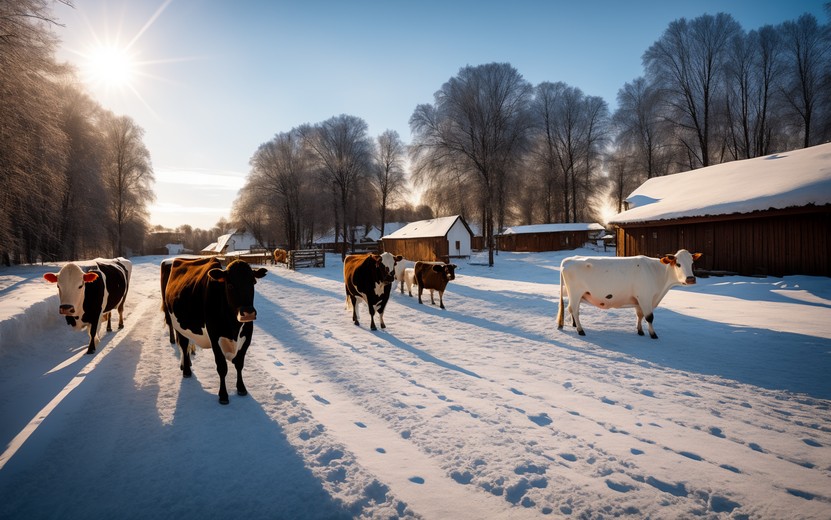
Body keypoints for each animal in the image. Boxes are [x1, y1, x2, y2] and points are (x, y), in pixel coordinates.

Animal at [162, 258, 266, 404]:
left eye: (253, 282)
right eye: (230, 285)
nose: (248, 313)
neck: (233, 327)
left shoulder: (247, 334)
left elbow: (239, 363)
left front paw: (241, 388)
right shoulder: (214, 337)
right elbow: (222, 367)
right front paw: (223, 395)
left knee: (185, 344)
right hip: (176, 323)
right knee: (183, 344)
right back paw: (186, 370)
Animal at [560, 250, 704, 340]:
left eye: (692, 263)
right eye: (678, 264)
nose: (691, 279)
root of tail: (569, 259)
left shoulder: (638, 300)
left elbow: (640, 315)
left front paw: (640, 331)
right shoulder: (645, 296)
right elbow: (649, 317)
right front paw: (653, 334)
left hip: (577, 295)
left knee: (571, 309)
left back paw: (574, 325)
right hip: (575, 292)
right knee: (574, 310)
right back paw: (580, 330)